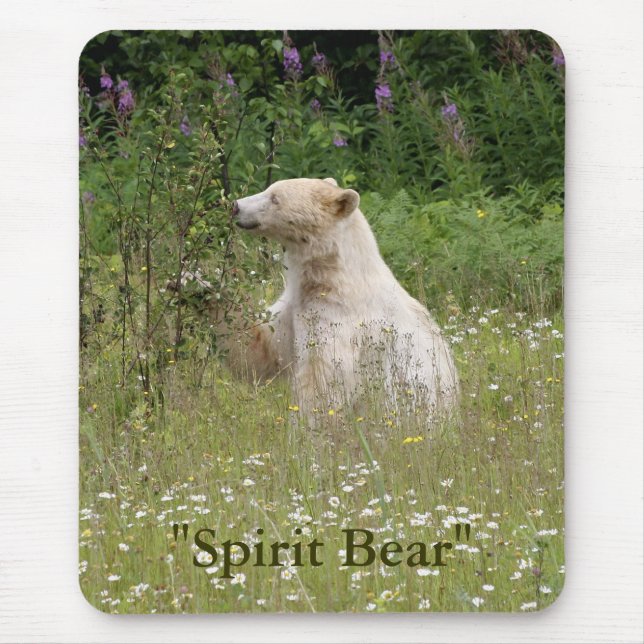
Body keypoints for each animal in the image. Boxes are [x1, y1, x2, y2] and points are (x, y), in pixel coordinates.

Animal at [230, 177, 458, 418]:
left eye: (275, 198)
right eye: (269, 188)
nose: (236, 206)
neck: (334, 276)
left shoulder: (341, 317)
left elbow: (325, 376)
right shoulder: (294, 305)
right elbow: (260, 348)